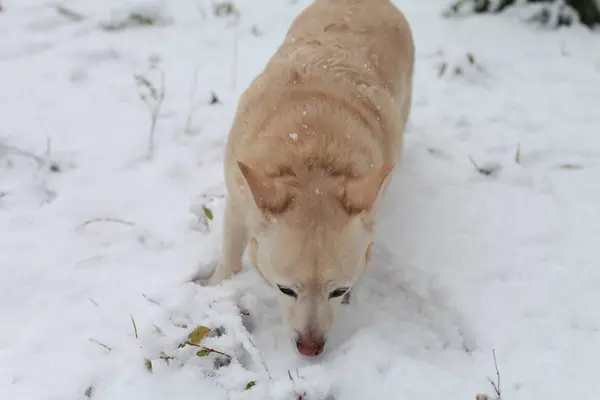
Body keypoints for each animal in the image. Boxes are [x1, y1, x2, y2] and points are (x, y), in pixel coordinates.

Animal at [202, 0, 412, 356]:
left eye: (338, 291)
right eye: (285, 289)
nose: (310, 349)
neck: (313, 153)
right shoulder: (237, 199)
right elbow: (230, 255)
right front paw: (216, 289)